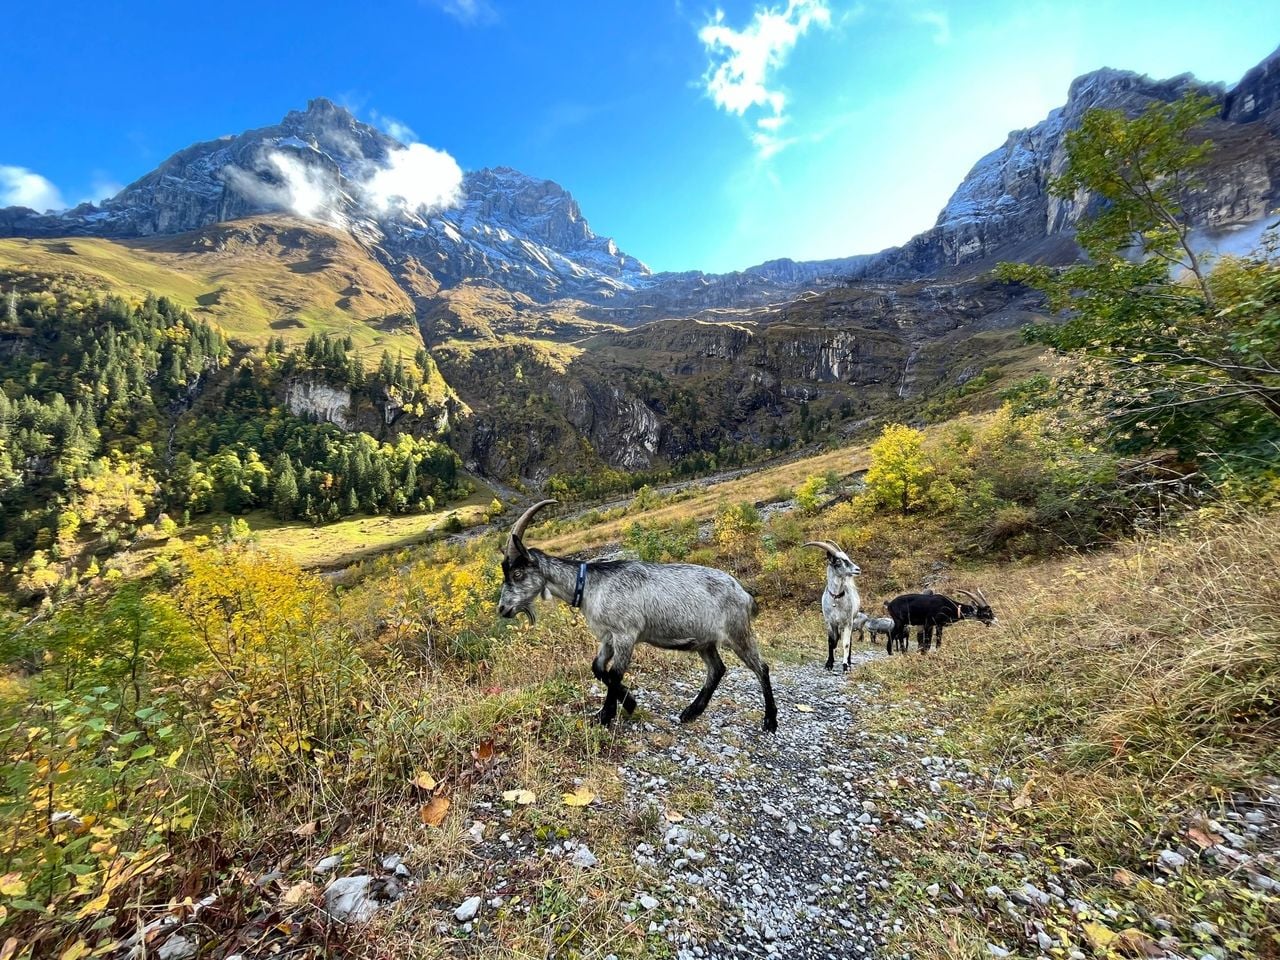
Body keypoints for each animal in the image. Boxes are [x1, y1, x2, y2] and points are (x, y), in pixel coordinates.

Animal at [496, 500, 778, 732]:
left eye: (517, 574)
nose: (502, 609)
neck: (590, 585)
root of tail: (744, 593)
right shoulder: (608, 637)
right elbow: (598, 668)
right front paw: (629, 703)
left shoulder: (625, 634)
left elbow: (614, 674)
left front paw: (605, 716)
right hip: (705, 641)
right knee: (717, 669)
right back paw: (690, 713)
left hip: (737, 631)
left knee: (761, 667)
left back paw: (770, 721)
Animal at [803, 541, 862, 672]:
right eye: (838, 562)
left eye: (847, 558)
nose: (857, 569)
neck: (836, 599)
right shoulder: (830, 622)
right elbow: (831, 642)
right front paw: (829, 663)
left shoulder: (847, 622)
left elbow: (846, 643)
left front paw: (845, 666)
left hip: (851, 621)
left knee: (849, 641)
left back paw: (849, 662)